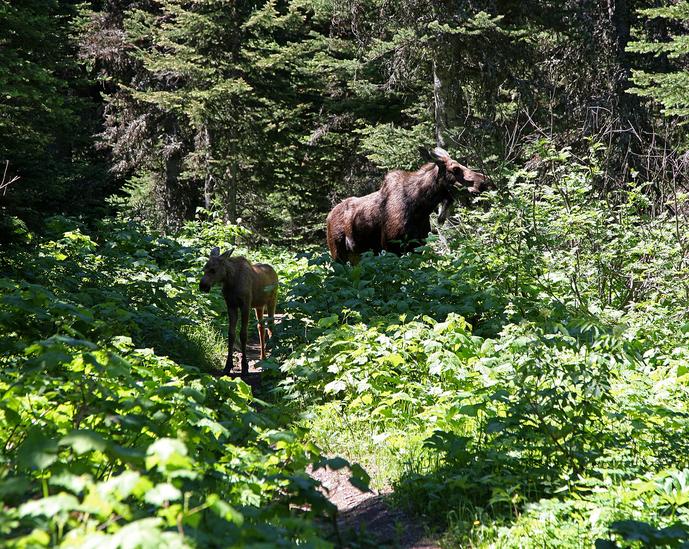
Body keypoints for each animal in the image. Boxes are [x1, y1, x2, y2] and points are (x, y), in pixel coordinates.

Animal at [199, 246, 276, 374]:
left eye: (213, 270)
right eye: (204, 269)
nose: (202, 286)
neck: (230, 281)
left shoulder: (245, 305)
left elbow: (243, 334)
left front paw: (244, 366)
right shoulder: (231, 305)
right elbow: (231, 334)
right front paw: (227, 366)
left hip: (272, 302)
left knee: (271, 326)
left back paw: (272, 355)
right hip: (258, 306)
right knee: (261, 327)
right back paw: (263, 357)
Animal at [326, 148, 484, 264]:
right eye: (455, 169)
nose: (484, 181)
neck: (420, 209)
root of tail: (328, 216)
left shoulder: (417, 246)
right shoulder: (391, 246)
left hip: (356, 256)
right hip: (337, 254)